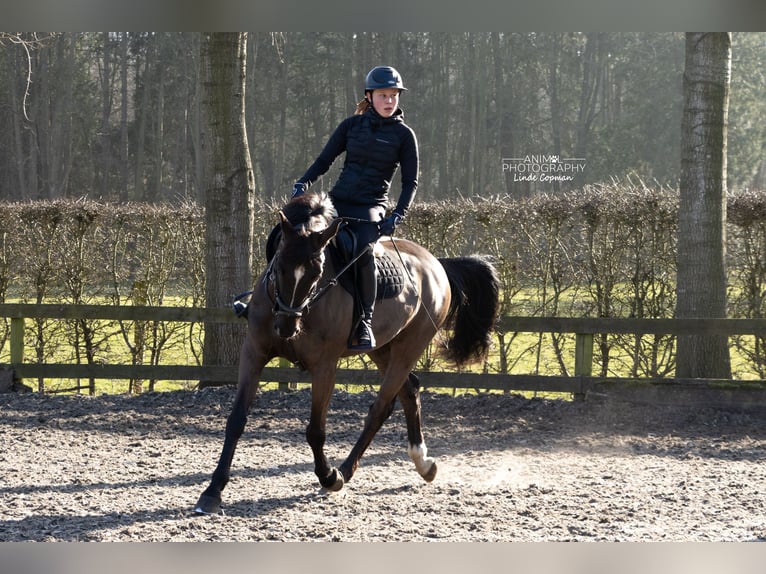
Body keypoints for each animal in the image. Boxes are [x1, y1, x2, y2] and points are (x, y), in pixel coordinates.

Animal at [194, 193, 500, 515]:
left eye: (317, 272)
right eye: (278, 267)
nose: (286, 325)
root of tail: (436, 264)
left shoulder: (325, 367)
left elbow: (316, 430)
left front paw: (328, 476)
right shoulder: (253, 354)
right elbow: (236, 420)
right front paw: (213, 491)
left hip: (409, 347)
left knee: (380, 408)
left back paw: (345, 471)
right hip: (382, 348)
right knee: (408, 392)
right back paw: (423, 462)